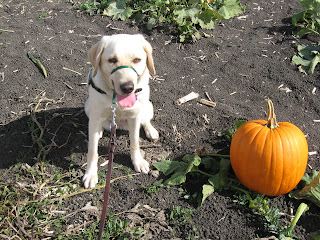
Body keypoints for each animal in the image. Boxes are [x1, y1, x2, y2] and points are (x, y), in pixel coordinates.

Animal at [82, 33, 158, 188]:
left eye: (137, 60)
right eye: (112, 60)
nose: (127, 87)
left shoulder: (135, 117)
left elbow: (135, 142)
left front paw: (138, 161)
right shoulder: (96, 115)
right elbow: (92, 150)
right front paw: (91, 174)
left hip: (148, 106)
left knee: (145, 121)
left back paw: (151, 131)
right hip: (88, 107)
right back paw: (99, 131)